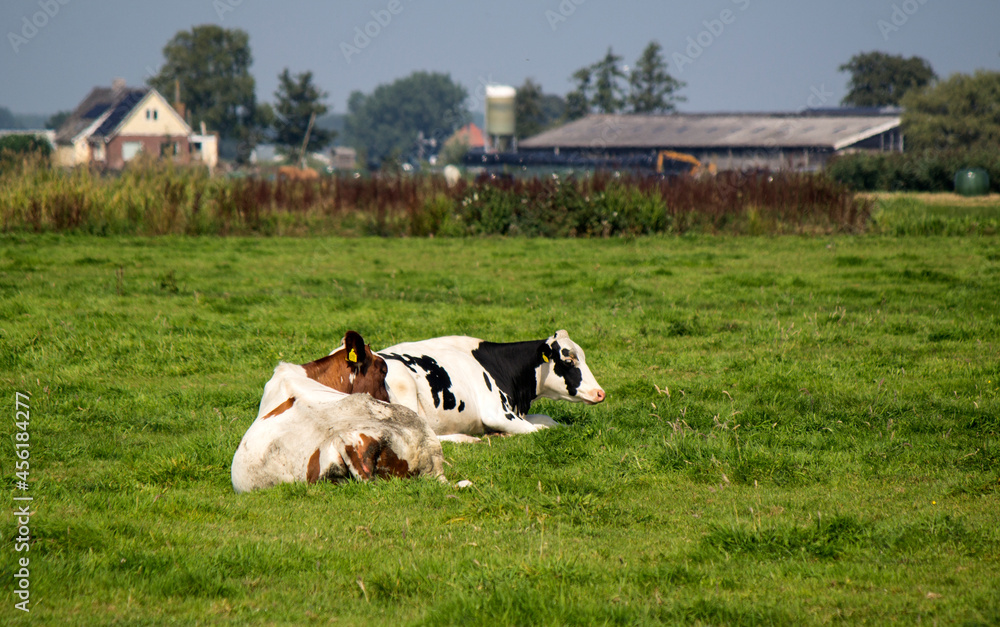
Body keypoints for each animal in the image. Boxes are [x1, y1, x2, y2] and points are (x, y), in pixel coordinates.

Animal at [378, 332, 604, 440]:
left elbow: (548, 420)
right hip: (404, 384)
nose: (600, 393)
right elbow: (537, 429)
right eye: (568, 361)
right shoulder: (496, 413)